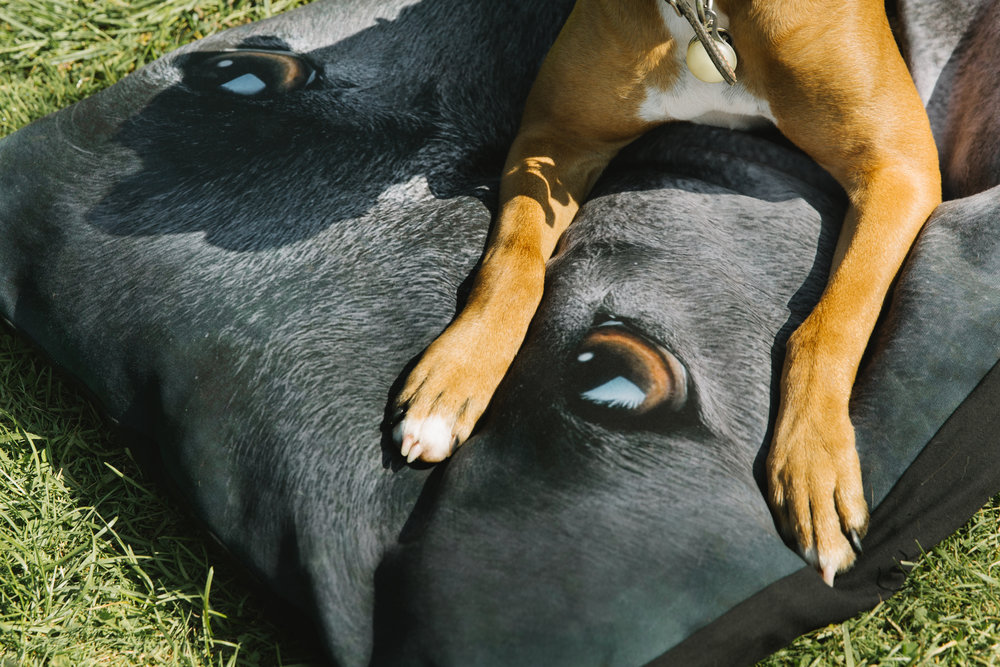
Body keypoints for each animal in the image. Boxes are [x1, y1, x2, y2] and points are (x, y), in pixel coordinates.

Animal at [390, 0, 936, 584]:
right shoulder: (552, 143)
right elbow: (513, 260)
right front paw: (458, 371)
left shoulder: (897, 165)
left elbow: (835, 319)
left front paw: (814, 459)